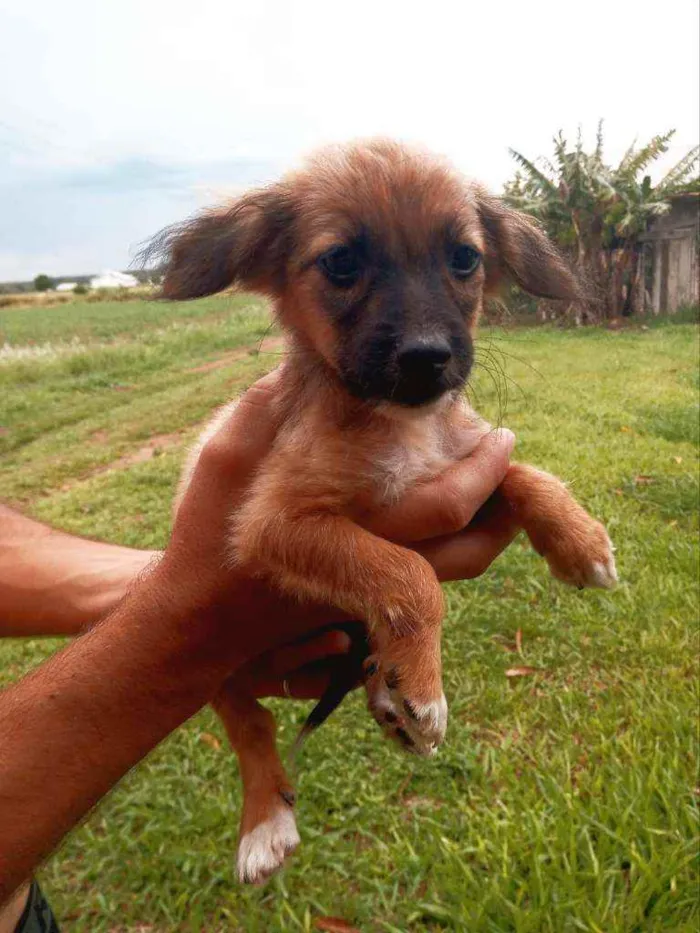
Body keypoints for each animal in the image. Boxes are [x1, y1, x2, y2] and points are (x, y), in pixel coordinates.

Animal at [149, 138, 616, 880]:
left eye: (465, 258)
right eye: (342, 262)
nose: (428, 357)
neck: (402, 424)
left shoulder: (462, 466)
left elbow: (522, 471)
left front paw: (580, 541)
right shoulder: (273, 522)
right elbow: (407, 573)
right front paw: (424, 686)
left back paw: (384, 690)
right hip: (210, 656)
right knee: (252, 723)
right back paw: (266, 820)